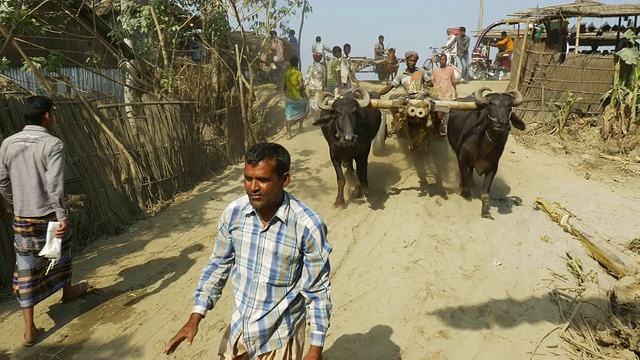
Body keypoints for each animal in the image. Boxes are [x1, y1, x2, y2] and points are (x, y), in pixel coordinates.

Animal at [448, 86, 524, 219]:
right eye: (490, 105)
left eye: (509, 107)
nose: (502, 122)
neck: (482, 148)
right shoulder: (461, 159)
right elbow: (464, 181)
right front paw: (464, 193)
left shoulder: (492, 168)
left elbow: (485, 193)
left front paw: (485, 213)